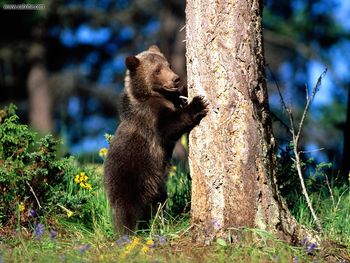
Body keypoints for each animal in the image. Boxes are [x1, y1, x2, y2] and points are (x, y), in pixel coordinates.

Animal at [104, 45, 208, 235]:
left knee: (159, 203)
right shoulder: (151, 117)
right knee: (127, 211)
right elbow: (169, 126)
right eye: (157, 70)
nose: (176, 79)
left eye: (169, 65)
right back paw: (130, 233)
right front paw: (198, 103)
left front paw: (186, 92)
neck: (153, 95)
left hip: (156, 185)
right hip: (130, 178)